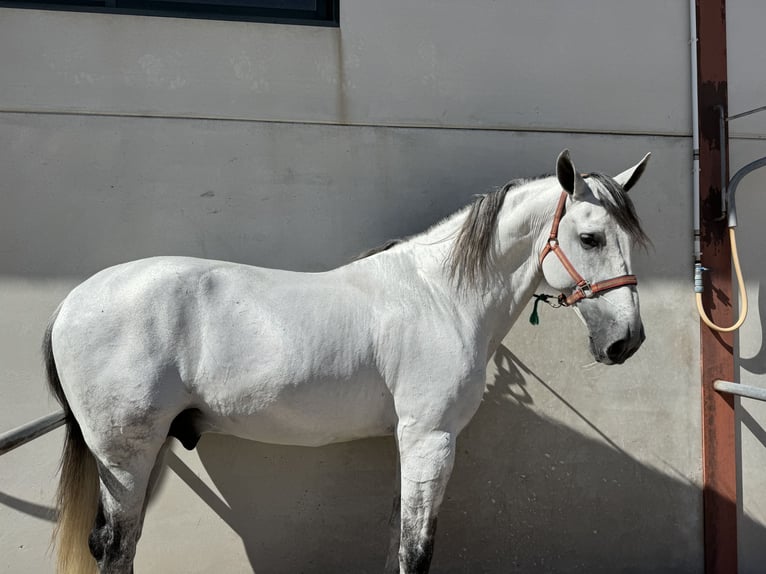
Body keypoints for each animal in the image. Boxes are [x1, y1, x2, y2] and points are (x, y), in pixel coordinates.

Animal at [43, 151, 648, 572]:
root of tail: (72, 302)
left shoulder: (410, 440)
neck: (439, 296)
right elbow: (416, 551)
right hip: (127, 456)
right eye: (590, 237)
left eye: (632, 241)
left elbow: (396, 543)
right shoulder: (431, 438)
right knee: (117, 547)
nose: (627, 342)